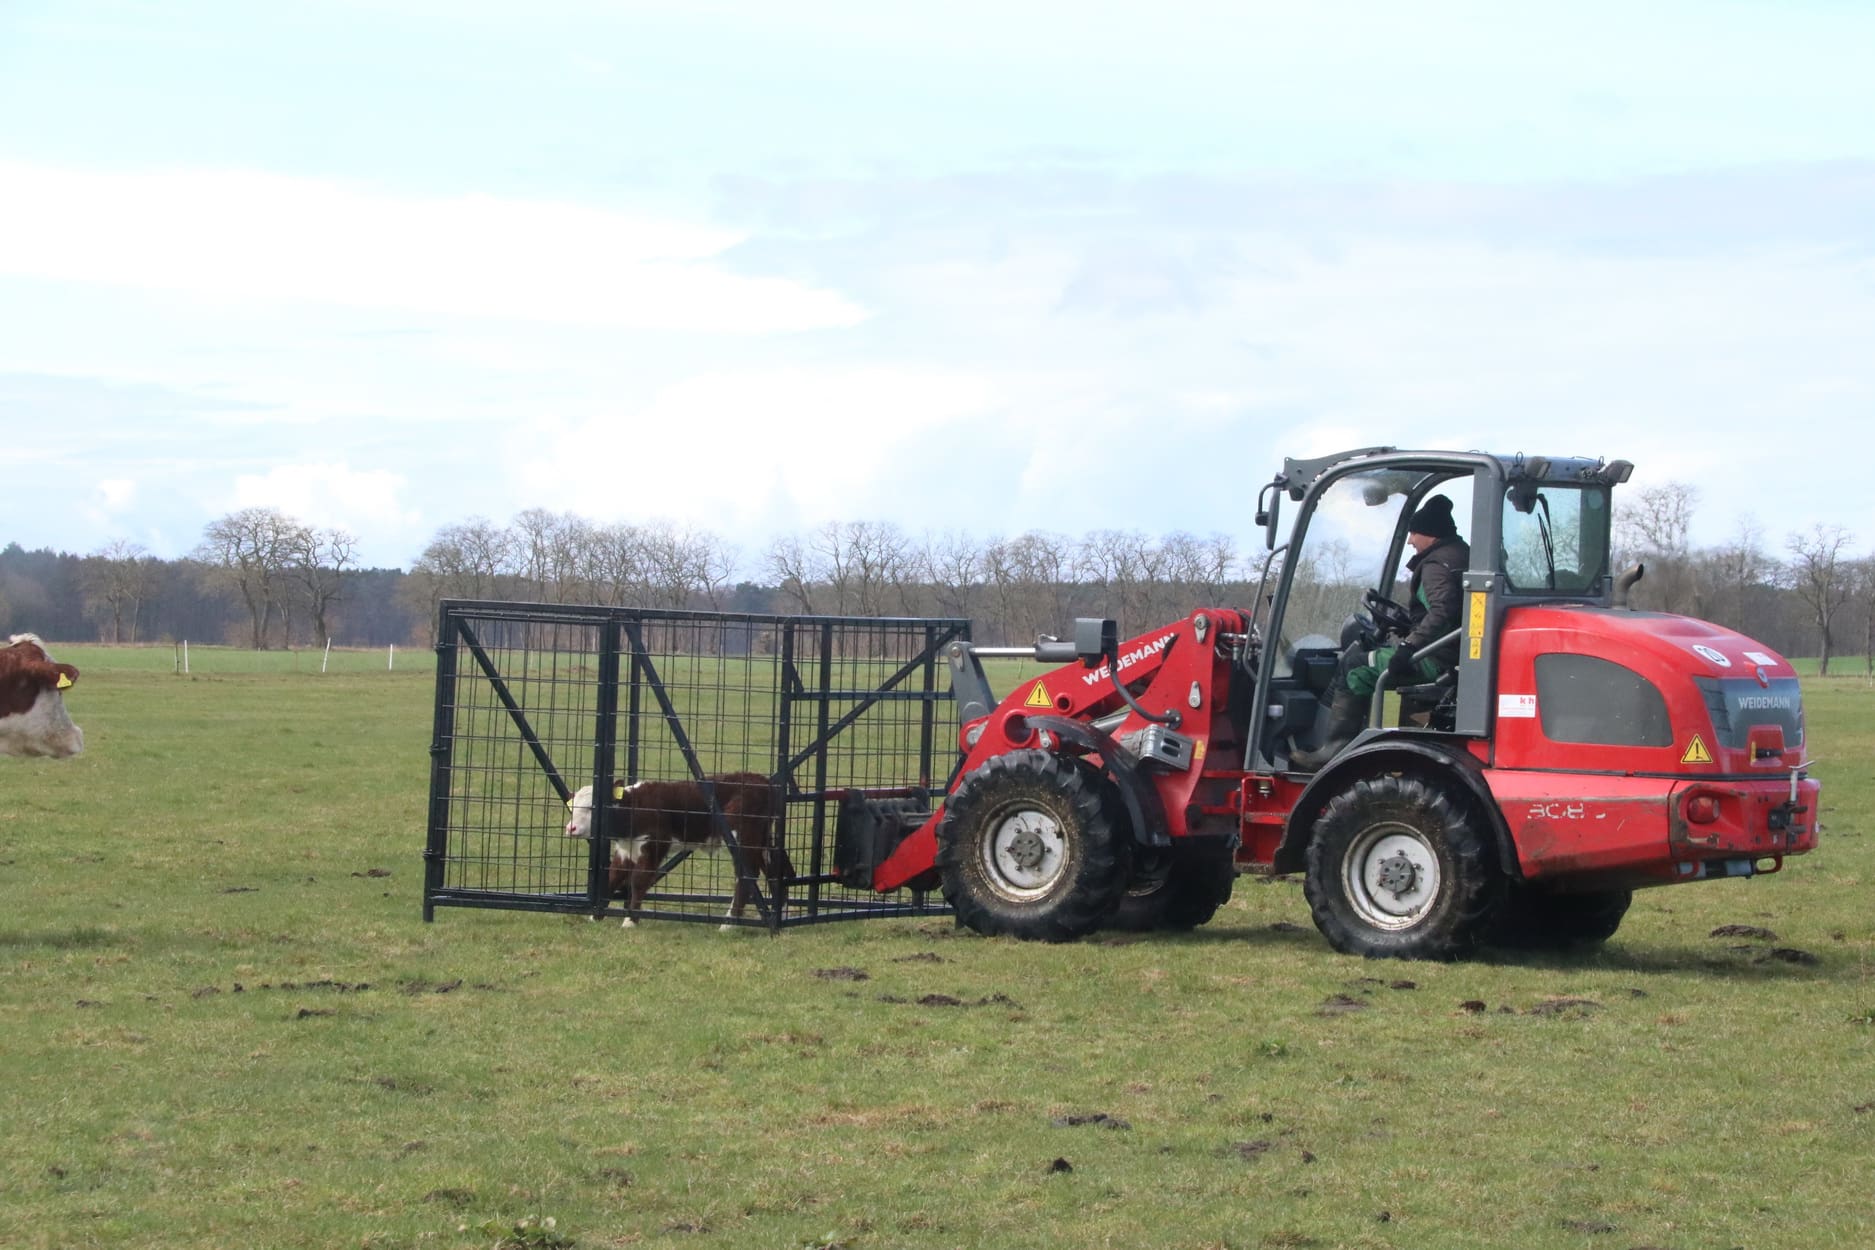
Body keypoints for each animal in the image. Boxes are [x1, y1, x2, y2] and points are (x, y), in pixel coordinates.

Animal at [558, 772, 787, 929]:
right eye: (572, 806)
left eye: (592, 807)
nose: (571, 828)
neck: (635, 806)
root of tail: (762, 781)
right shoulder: (625, 850)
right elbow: (612, 877)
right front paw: (595, 916)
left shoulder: (654, 845)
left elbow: (639, 880)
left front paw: (630, 920)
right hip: (762, 841)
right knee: (773, 870)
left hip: (743, 839)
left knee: (747, 875)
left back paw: (728, 924)